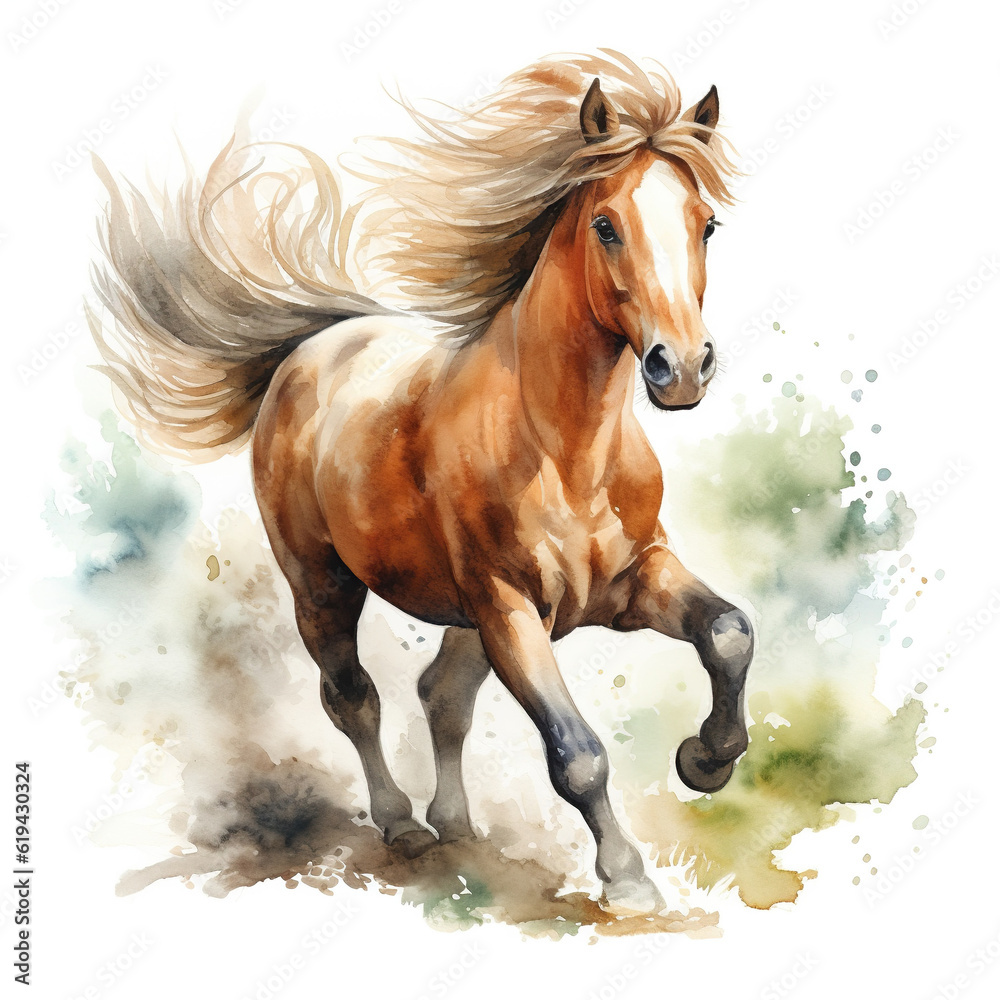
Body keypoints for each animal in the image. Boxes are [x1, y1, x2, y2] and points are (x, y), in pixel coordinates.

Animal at [88, 52, 754, 915]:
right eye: (606, 225)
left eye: (706, 224)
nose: (682, 367)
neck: (565, 451)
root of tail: (312, 348)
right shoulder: (509, 610)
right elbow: (578, 753)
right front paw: (628, 877)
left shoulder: (633, 581)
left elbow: (730, 632)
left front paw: (706, 760)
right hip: (325, 586)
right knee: (353, 696)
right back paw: (403, 824)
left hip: (461, 612)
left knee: (441, 692)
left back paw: (456, 823)